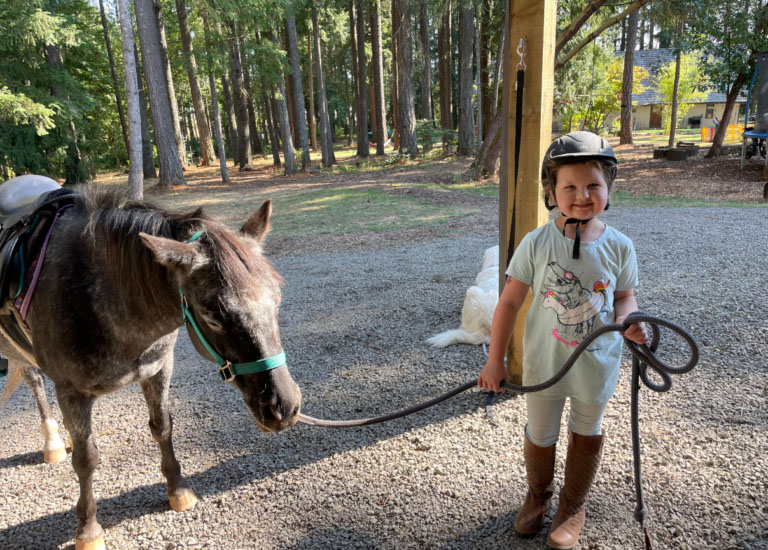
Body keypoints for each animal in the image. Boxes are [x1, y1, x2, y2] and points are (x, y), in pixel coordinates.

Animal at [0, 187, 302, 550]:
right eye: (214, 316)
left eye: (277, 301)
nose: (284, 407)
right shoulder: (71, 391)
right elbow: (86, 459)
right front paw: (88, 530)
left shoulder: (158, 369)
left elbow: (162, 427)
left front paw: (178, 489)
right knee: (34, 382)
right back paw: (53, 442)